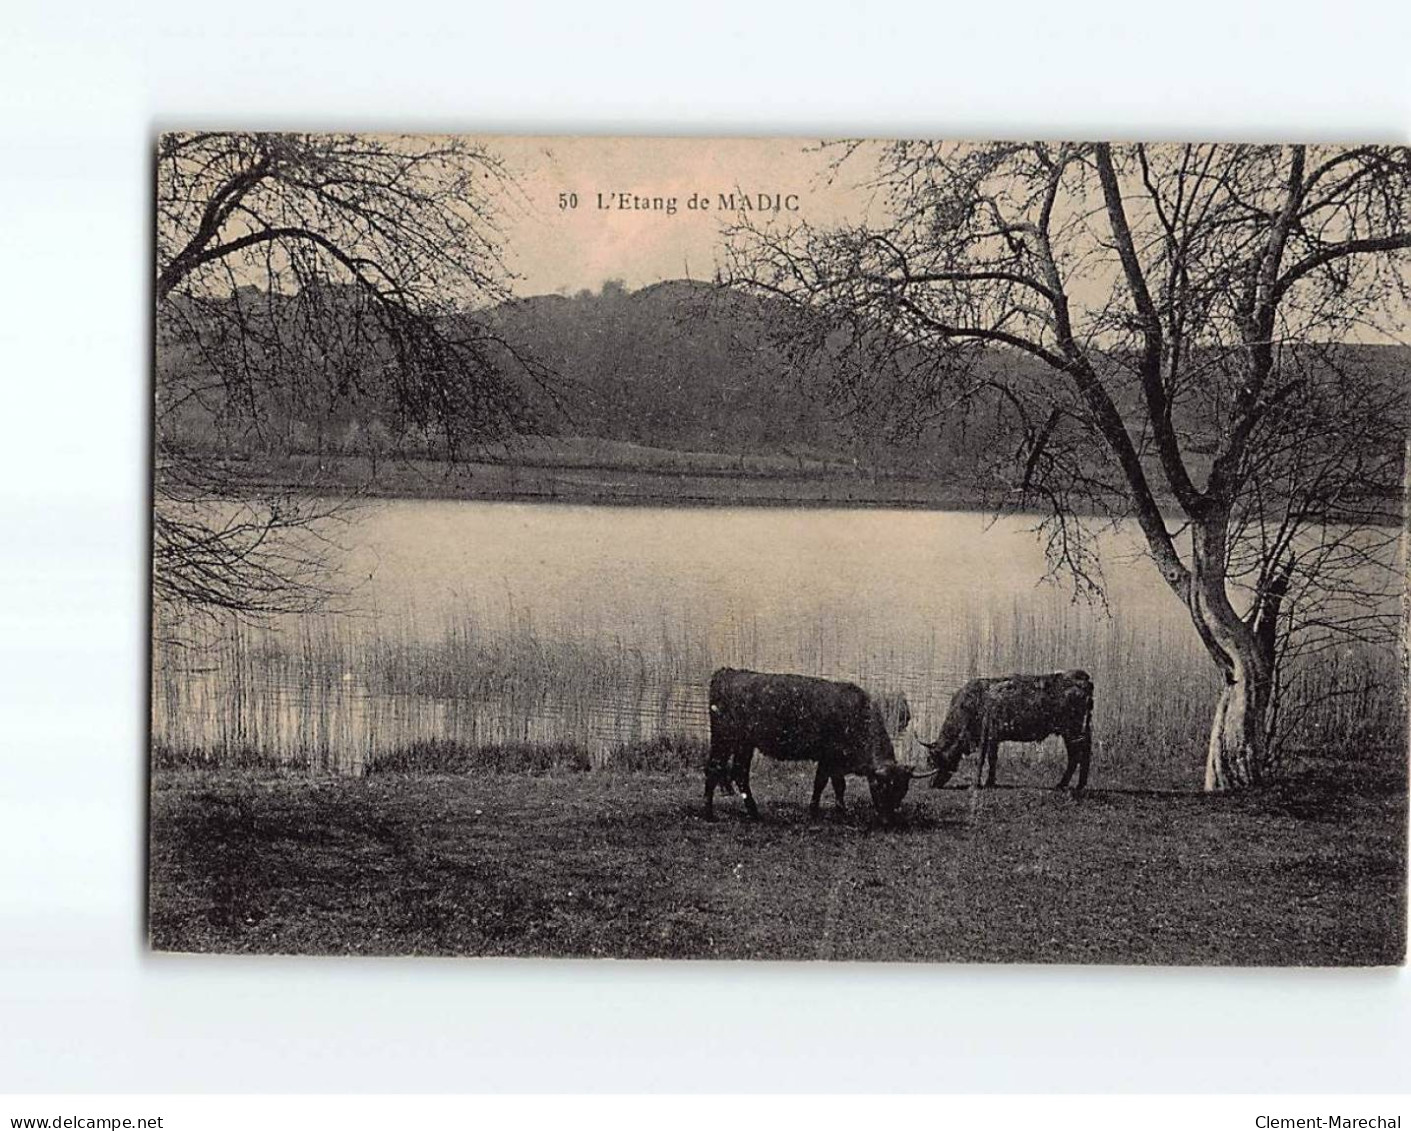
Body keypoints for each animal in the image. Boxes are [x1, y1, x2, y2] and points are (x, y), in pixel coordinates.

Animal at [702, 671, 925, 817]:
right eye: (882, 787)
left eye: (902, 790)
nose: (888, 819)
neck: (857, 716)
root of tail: (727, 673)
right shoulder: (828, 758)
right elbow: (823, 783)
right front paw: (818, 809)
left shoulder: (836, 762)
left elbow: (836, 785)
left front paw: (838, 808)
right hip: (724, 739)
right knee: (714, 768)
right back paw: (709, 812)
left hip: (744, 745)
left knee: (739, 773)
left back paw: (753, 811)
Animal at [919, 665, 1094, 789]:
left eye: (933, 760)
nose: (931, 784)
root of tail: (1085, 679)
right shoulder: (991, 738)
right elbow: (990, 759)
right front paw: (987, 781)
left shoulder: (989, 735)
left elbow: (985, 759)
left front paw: (981, 783)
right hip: (1082, 728)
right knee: (1085, 752)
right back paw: (1080, 784)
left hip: (1071, 729)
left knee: (1076, 755)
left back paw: (1063, 784)